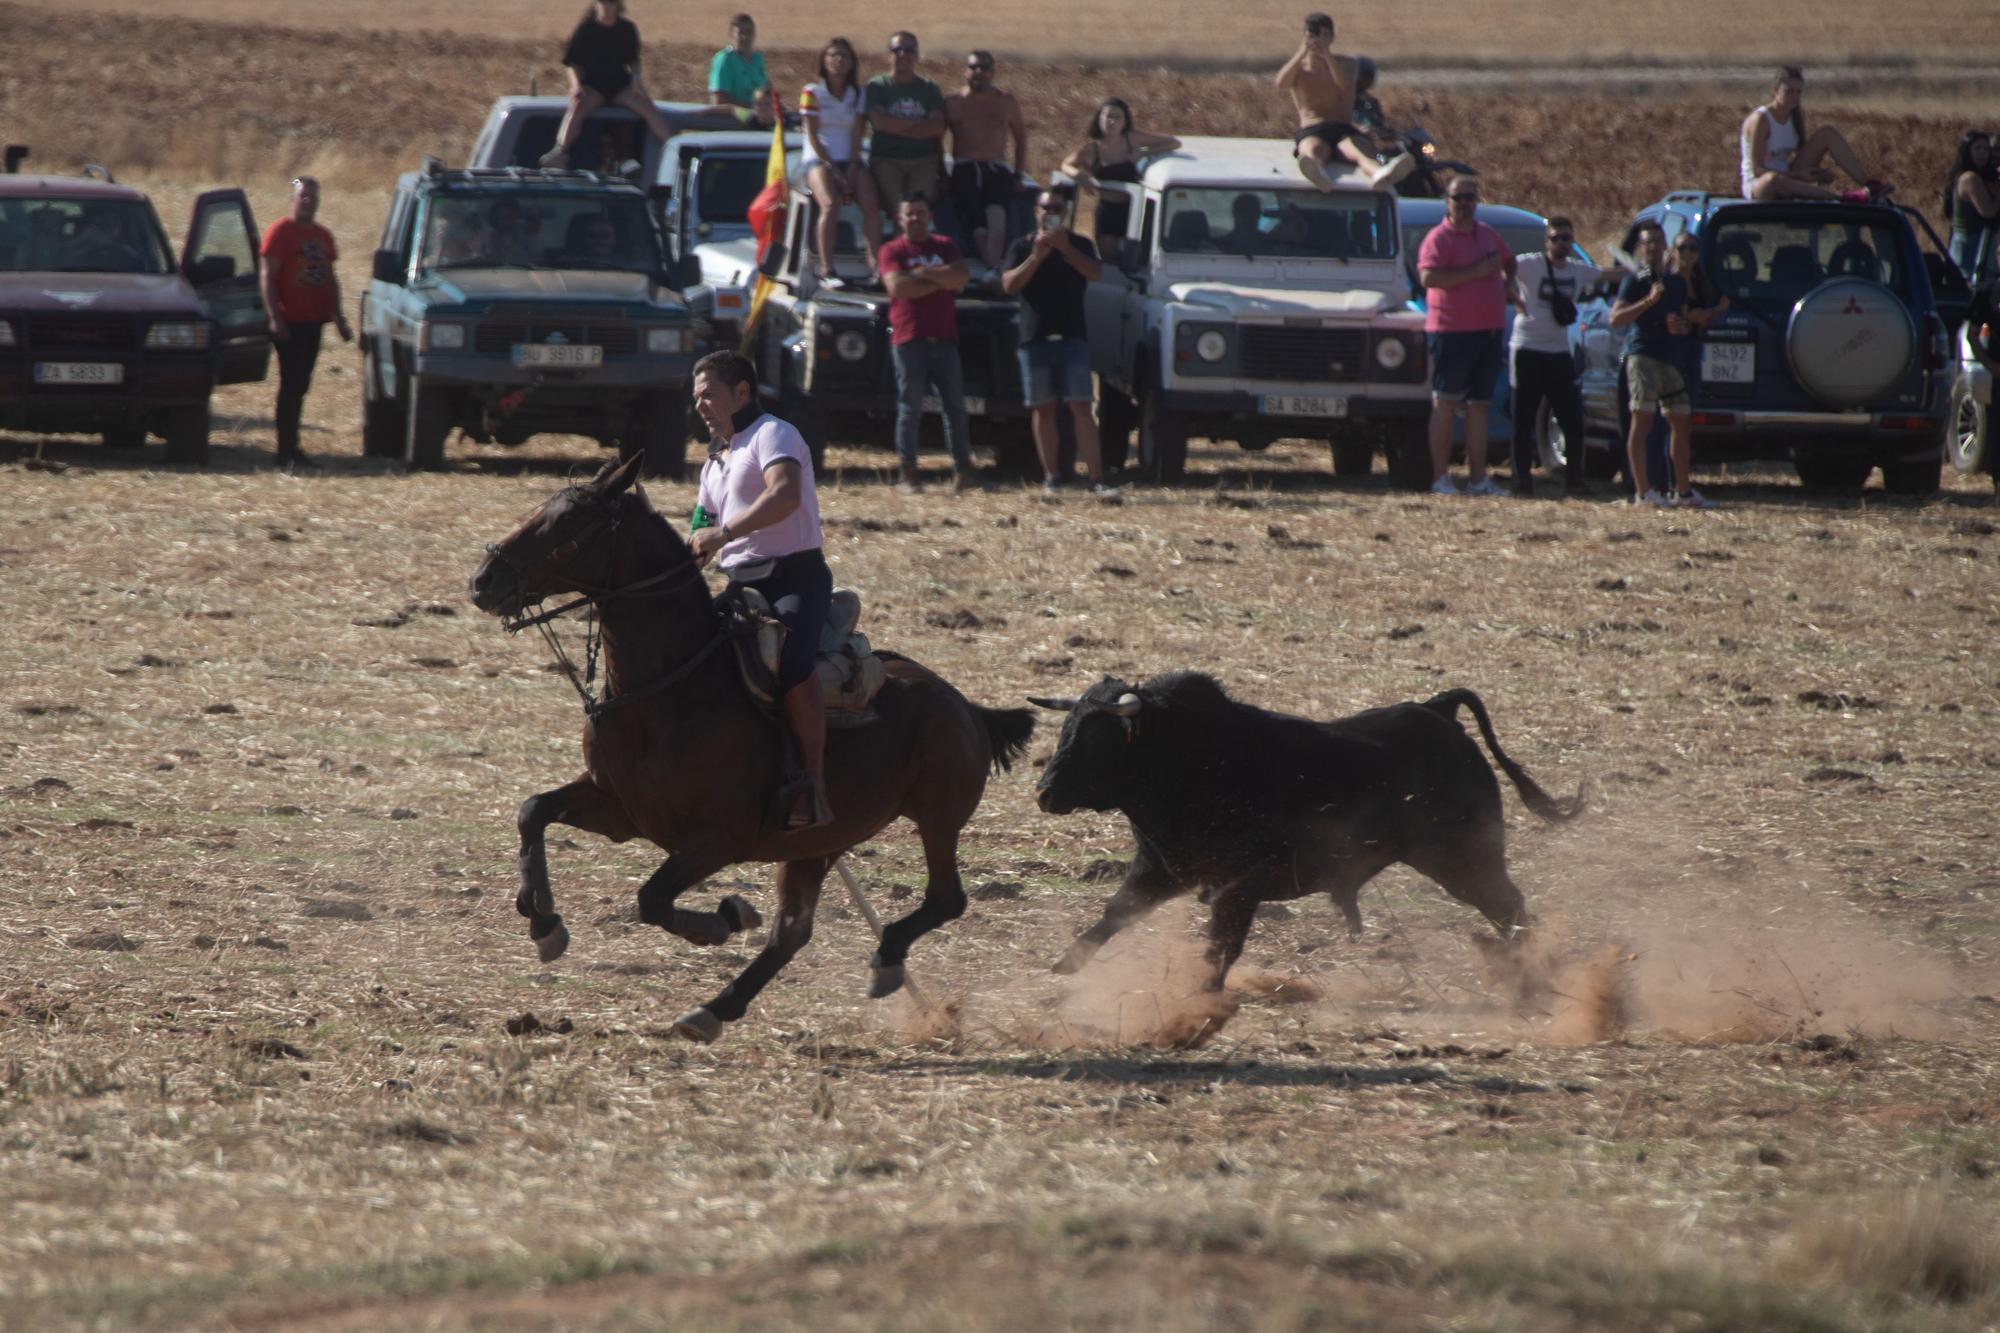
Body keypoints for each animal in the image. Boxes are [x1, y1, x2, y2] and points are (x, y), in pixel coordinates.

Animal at [468, 452, 1032, 1040]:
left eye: (570, 520)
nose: (483, 581)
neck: (669, 688)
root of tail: (965, 706)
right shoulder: (619, 809)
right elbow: (532, 811)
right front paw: (542, 918)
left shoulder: (721, 837)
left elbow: (652, 898)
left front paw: (726, 919)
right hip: (818, 843)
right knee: (793, 931)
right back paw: (715, 1009)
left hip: (937, 817)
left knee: (946, 898)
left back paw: (884, 958)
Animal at [1032, 668, 1576, 980]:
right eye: (1066, 729)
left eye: (1098, 738)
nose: (1044, 793)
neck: (1193, 760)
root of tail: (1437, 709)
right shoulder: (1159, 870)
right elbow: (1114, 916)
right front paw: (1063, 970)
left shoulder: (1239, 885)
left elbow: (1221, 947)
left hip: (1465, 859)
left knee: (1509, 906)